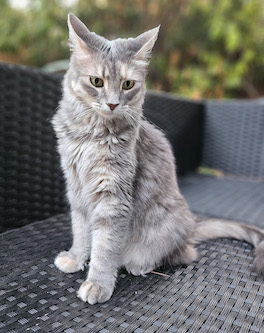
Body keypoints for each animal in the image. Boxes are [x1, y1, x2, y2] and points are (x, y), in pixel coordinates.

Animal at [51, 13, 264, 304]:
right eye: (97, 82)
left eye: (128, 84)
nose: (113, 104)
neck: (90, 135)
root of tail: (190, 227)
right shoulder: (76, 186)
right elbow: (81, 231)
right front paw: (75, 259)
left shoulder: (113, 195)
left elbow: (104, 246)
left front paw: (98, 284)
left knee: (184, 254)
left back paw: (139, 264)